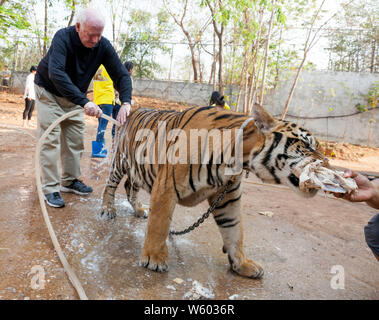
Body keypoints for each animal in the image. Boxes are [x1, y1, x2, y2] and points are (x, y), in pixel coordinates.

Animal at [99, 102, 328, 278]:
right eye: (307, 145)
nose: (326, 163)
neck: (238, 159)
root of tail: (132, 111)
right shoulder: (166, 187)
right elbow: (159, 225)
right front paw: (154, 259)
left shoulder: (228, 198)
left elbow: (235, 231)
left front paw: (243, 264)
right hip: (121, 161)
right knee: (110, 185)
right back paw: (107, 210)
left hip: (138, 169)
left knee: (130, 187)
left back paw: (139, 210)